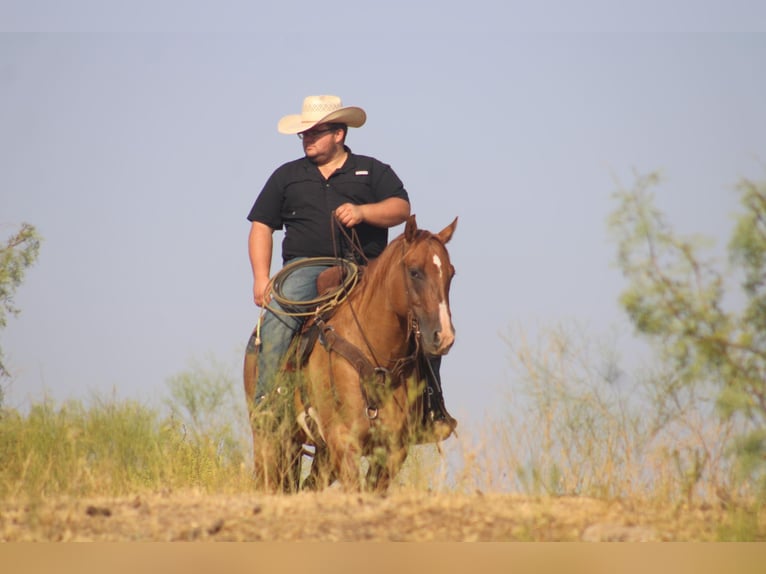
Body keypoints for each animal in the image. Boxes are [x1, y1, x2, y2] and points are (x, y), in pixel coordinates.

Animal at [244, 216, 456, 496]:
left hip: (318, 453)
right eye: (414, 271)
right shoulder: (343, 441)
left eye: (451, 273)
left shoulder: (394, 448)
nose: (443, 336)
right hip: (270, 438)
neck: (379, 361)